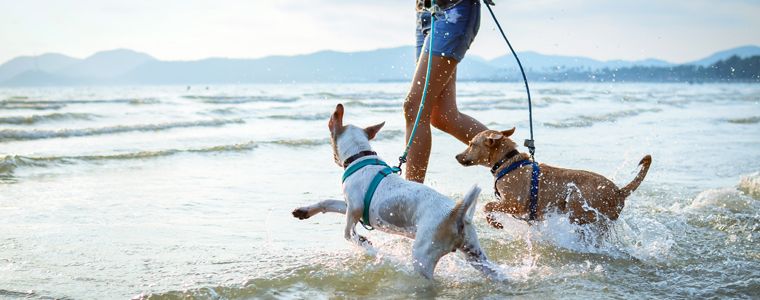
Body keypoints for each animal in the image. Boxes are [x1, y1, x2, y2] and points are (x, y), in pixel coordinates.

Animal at [294, 103, 502, 282]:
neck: (361, 157)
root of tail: (456, 213)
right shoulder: (350, 205)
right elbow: (328, 203)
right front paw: (304, 211)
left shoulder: (355, 207)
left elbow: (347, 232)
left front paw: (363, 243)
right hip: (475, 254)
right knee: (497, 272)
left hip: (422, 257)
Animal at [454, 126, 652, 227]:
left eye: (471, 144)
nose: (456, 156)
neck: (508, 163)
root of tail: (619, 191)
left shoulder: (514, 203)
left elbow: (487, 206)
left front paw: (495, 223)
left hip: (577, 206)